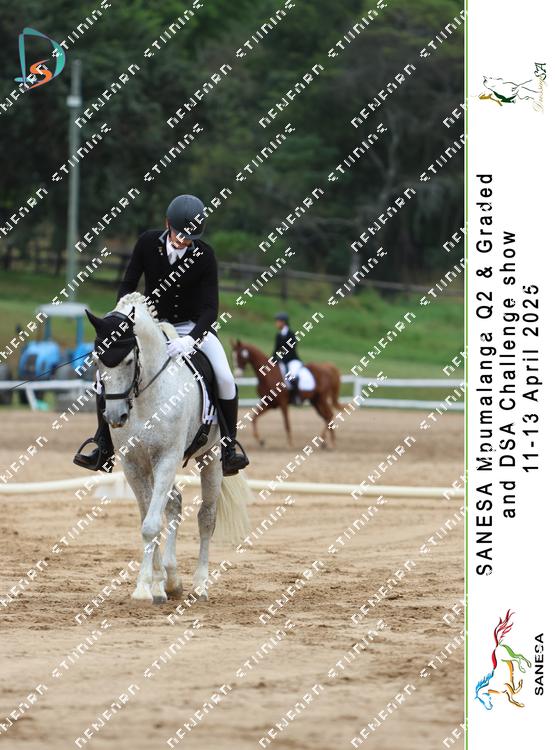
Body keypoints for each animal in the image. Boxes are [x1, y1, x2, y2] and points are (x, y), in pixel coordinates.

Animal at [86, 292, 250, 605]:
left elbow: (151, 524)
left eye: (128, 360)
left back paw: (200, 584)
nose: (115, 417)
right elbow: (147, 518)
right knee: (173, 503)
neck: (145, 394)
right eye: (97, 360)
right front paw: (152, 583)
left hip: (211, 458)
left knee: (206, 517)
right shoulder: (133, 463)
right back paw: (171, 579)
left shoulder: (166, 458)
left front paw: (144, 587)